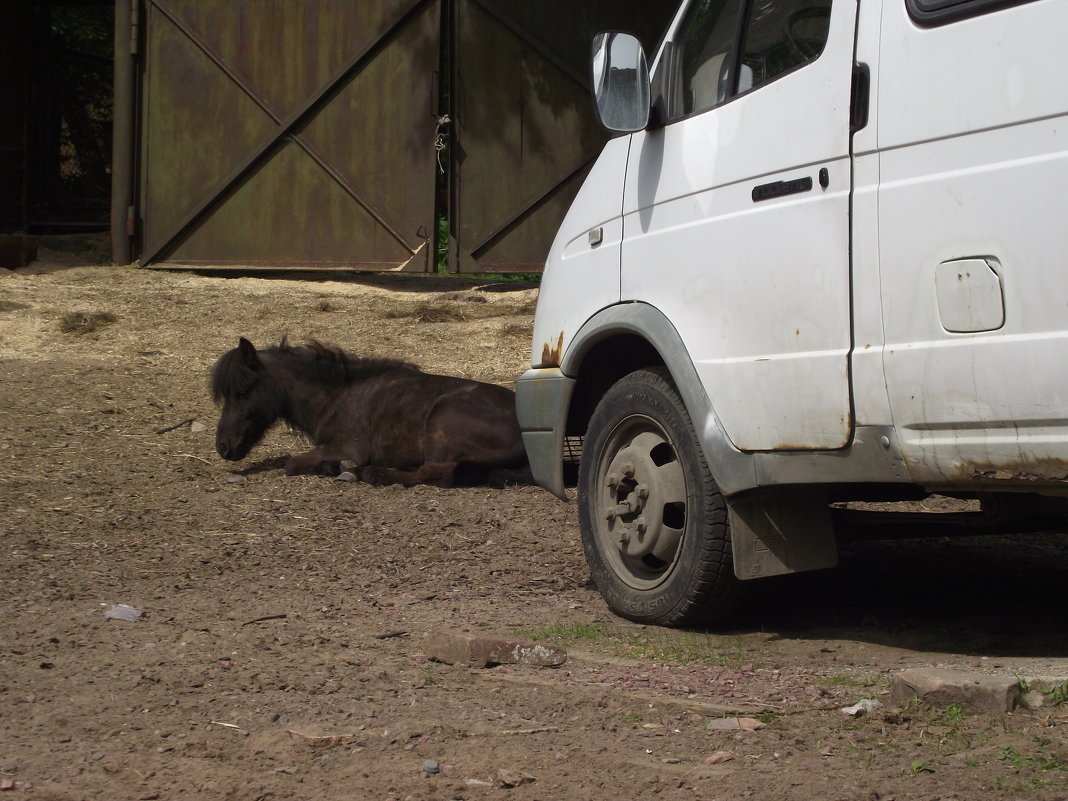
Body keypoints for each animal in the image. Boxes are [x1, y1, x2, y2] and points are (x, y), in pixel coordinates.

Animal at [210, 335, 527, 487]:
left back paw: (370, 474)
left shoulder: (349, 447)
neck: (337, 396)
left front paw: (340, 467)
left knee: (436, 475)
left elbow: (291, 464)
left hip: (442, 425)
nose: (223, 447)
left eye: (242, 391)